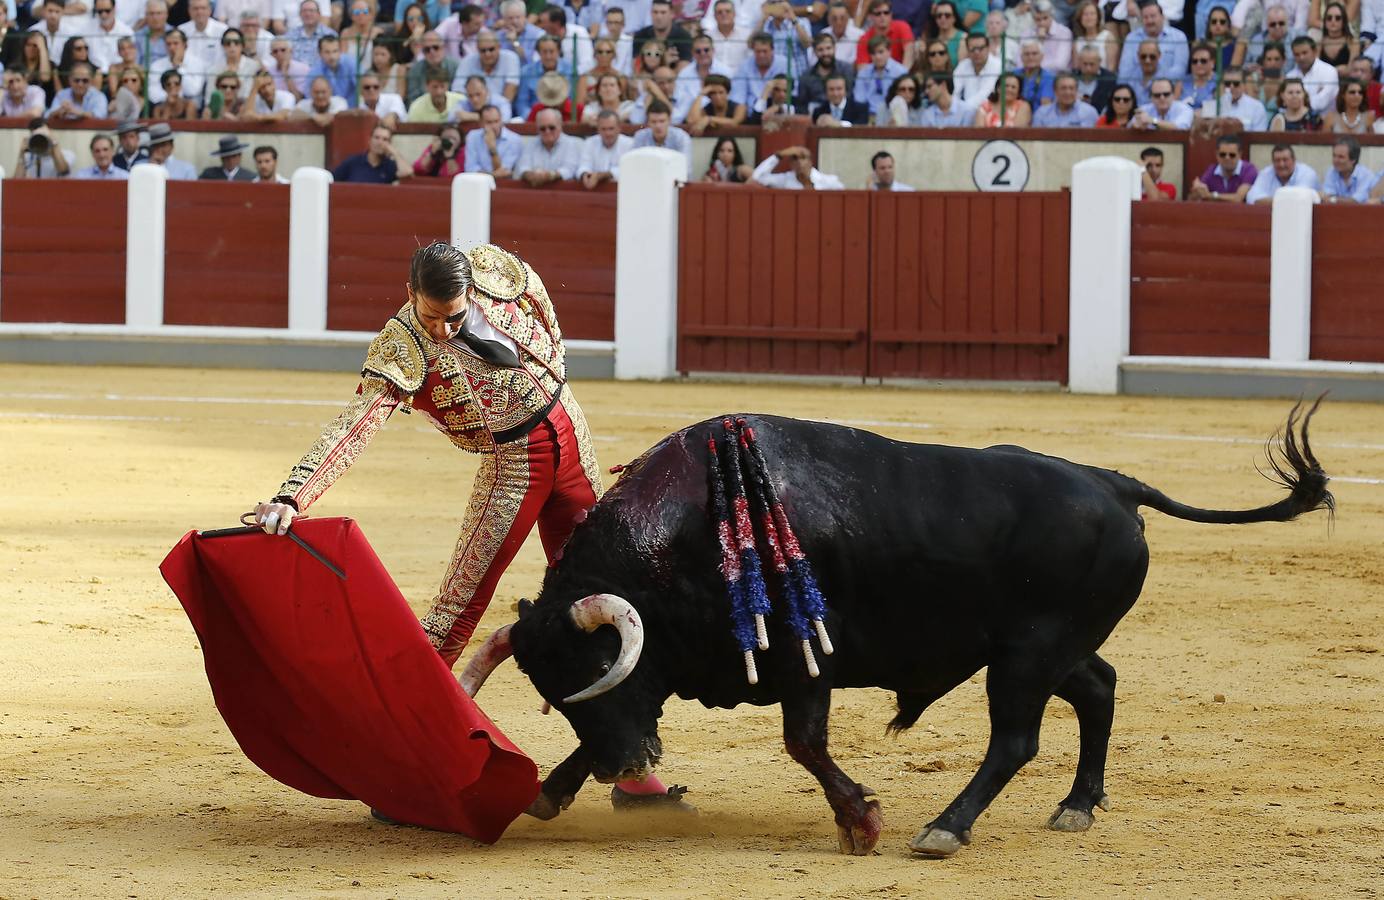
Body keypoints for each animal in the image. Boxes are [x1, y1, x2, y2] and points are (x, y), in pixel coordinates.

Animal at [462, 401, 1328, 852]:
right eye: (556, 694)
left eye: (593, 670)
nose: (629, 767)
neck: (685, 536)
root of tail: (1112, 484)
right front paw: (549, 791)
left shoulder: (802, 663)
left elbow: (805, 743)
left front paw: (861, 822)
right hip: (1045, 647)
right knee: (1099, 688)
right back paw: (1079, 803)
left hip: (1027, 655)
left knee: (1017, 739)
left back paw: (945, 828)